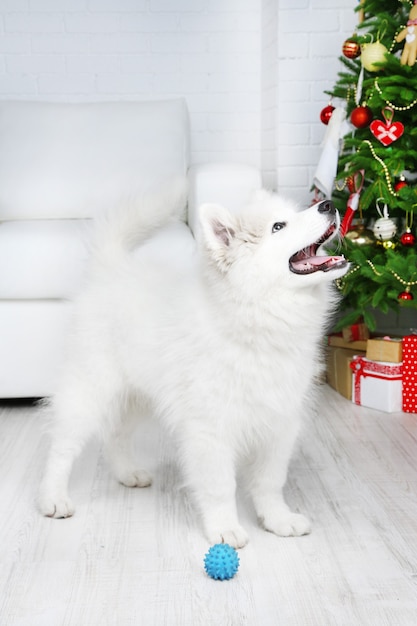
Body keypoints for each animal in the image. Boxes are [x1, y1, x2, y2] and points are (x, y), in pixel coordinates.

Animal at [37, 180, 348, 544]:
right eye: (278, 227)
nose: (329, 205)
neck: (254, 321)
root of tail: (111, 269)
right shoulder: (210, 428)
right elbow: (220, 485)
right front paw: (225, 527)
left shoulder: (280, 422)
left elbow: (269, 482)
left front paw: (278, 519)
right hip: (91, 389)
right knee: (62, 447)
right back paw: (53, 498)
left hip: (138, 394)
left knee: (116, 435)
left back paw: (128, 473)